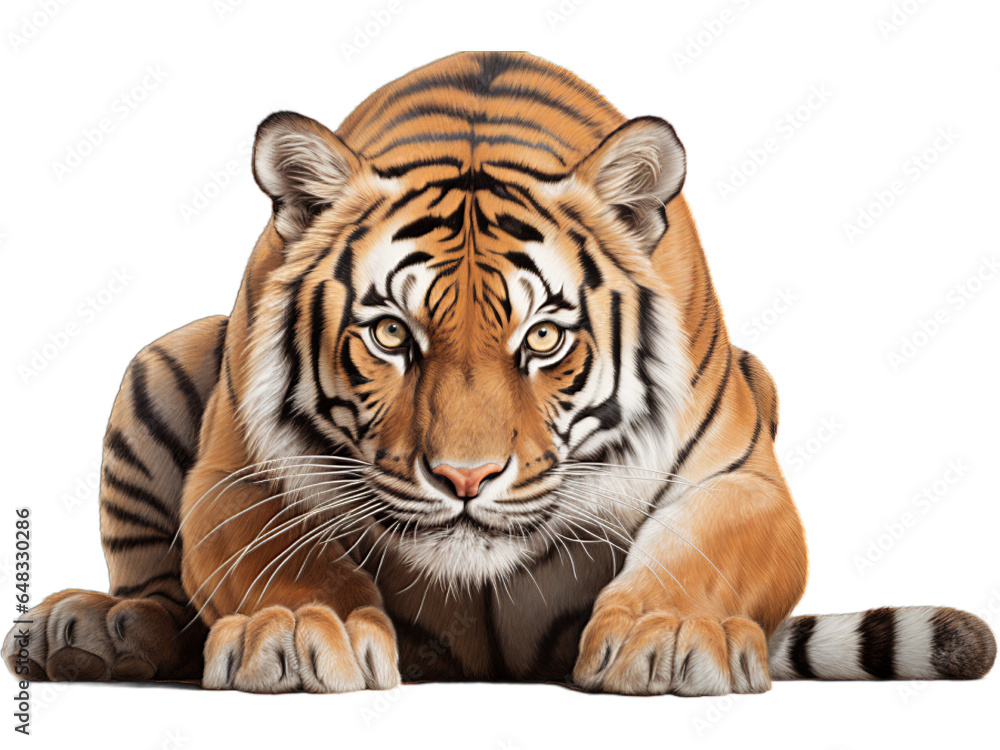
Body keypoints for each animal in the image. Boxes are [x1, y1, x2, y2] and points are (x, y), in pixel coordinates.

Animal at [4, 51, 994, 696]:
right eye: (391, 335)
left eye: (544, 339)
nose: (467, 478)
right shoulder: (235, 471)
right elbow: (280, 558)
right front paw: (301, 630)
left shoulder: (743, 476)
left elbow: (701, 552)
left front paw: (669, 635)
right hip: (159, 361)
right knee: (157, 591)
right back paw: (96, 630)